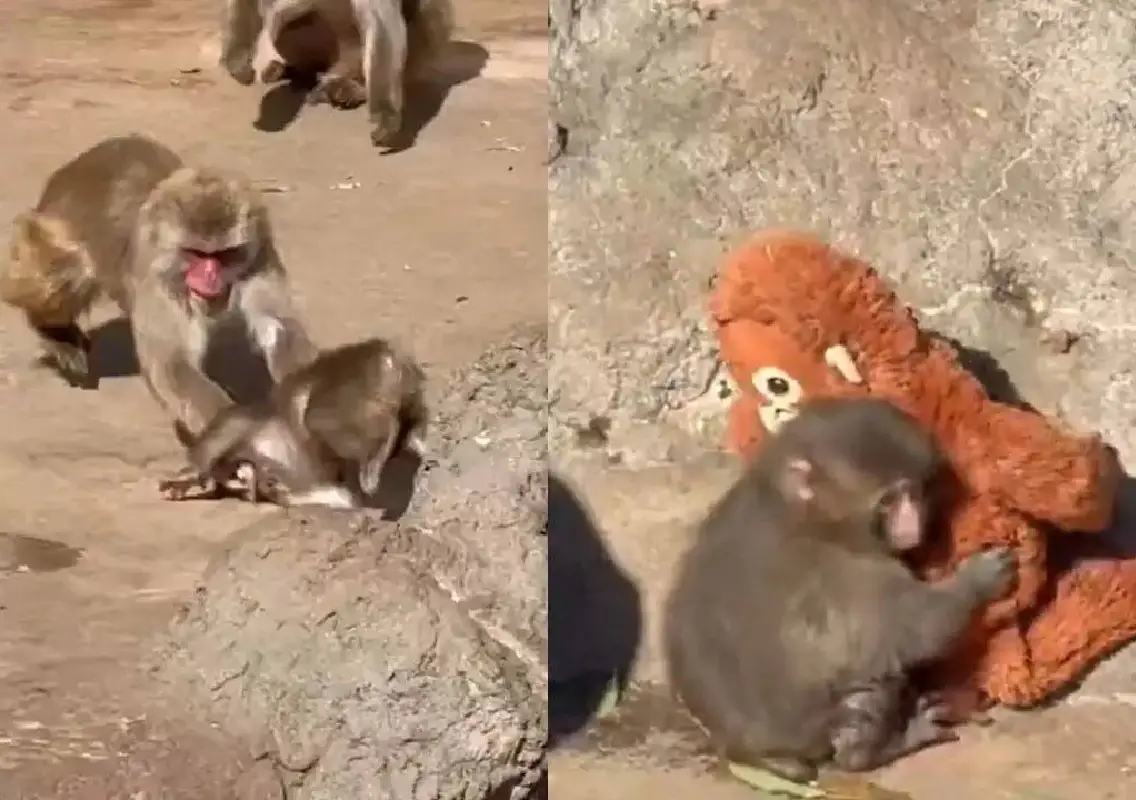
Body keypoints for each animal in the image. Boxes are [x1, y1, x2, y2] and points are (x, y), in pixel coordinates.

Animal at [0, 134, 318, 431]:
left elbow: (278, 327)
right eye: (197, 254)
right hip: (57, 222)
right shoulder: (158, 277)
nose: (210, 276)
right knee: (65, 268)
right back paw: (53, 330)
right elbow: (169, 361)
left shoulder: (260, 254)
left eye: (224, 255)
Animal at [158, 336, 427, 510]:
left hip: (338, 402)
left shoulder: (235, 423)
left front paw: (179, 480)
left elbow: (208, 451)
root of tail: (389, 359)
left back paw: (373, 467)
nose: (250, 481)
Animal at [221, 0, 455, 148]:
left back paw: (352, 87)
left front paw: (386, 116)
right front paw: (237, 58)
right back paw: (300, 73)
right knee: (293, 17)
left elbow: (379, 17)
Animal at [662, 397, 1016, 785]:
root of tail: (746, 750)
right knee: (870, 679)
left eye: (915, 491)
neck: (802, 511)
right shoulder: (852, 572)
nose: (914, 525)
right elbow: (919, 628)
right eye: (888, 500)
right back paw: (877, 749)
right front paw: (980, 578)